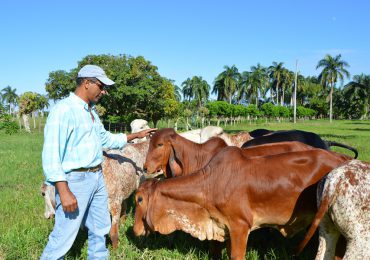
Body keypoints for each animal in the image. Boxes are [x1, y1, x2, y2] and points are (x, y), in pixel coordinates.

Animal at [134, 147, 348, 258]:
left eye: (139, 199)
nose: (135, 230)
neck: (209, 185)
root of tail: (342, 158)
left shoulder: (240, 226)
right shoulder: (226, 229)